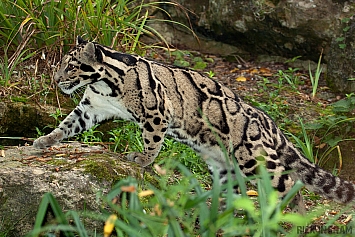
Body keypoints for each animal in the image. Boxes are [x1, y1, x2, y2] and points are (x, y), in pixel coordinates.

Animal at [34, 36, 355, 204]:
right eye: (63, 65)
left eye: (71, 66)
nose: (56, 79)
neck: (104, 85)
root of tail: (267, 122)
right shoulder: (91, 107)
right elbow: (67, 125)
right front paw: (45, 139)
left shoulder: (157, 111)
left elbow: (152, 140)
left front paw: (144, 159)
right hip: (226, 168)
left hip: (255, 159)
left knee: (290, 187)